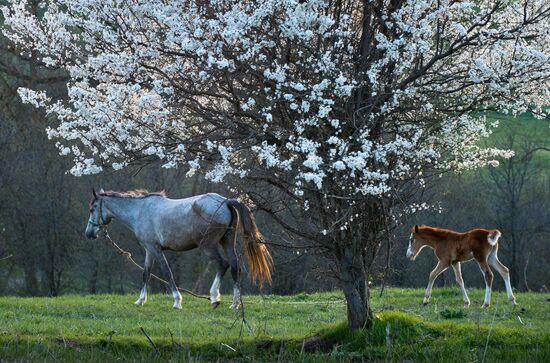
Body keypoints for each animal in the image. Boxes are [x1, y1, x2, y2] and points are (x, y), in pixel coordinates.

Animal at [84, 189, 274, 312]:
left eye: (92, 209)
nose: (89, 233)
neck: (140, 211)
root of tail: (225, 201)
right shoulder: (149, 250)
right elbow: (146, 274)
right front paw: (140, 300)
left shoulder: (155, 249)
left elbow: (167, 273)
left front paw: (177, 301)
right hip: (227, 241)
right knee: (235, 266)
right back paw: (235, 304)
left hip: (208, 246)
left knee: (223, 264)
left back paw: (214, 297)